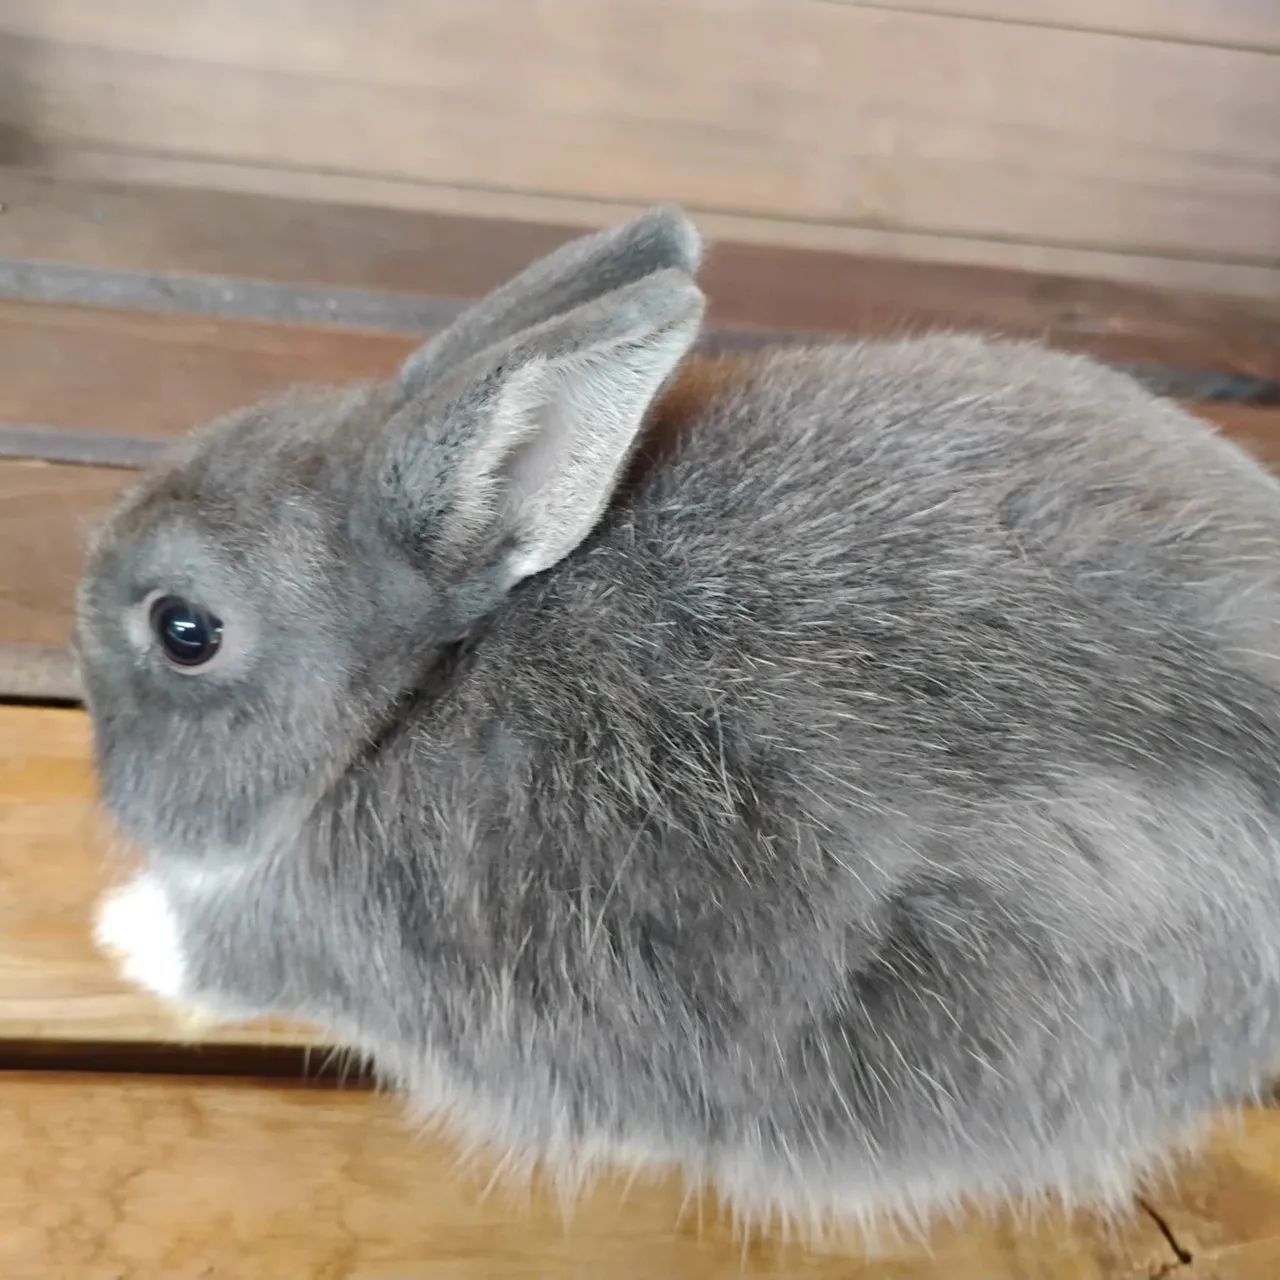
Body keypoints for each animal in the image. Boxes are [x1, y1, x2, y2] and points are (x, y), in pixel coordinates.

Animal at [77, 205, 1280, 1232]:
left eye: (185, 630)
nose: (113, 782)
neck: (411, 696)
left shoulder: (349, 939)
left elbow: (234, 948)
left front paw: (128, 933)